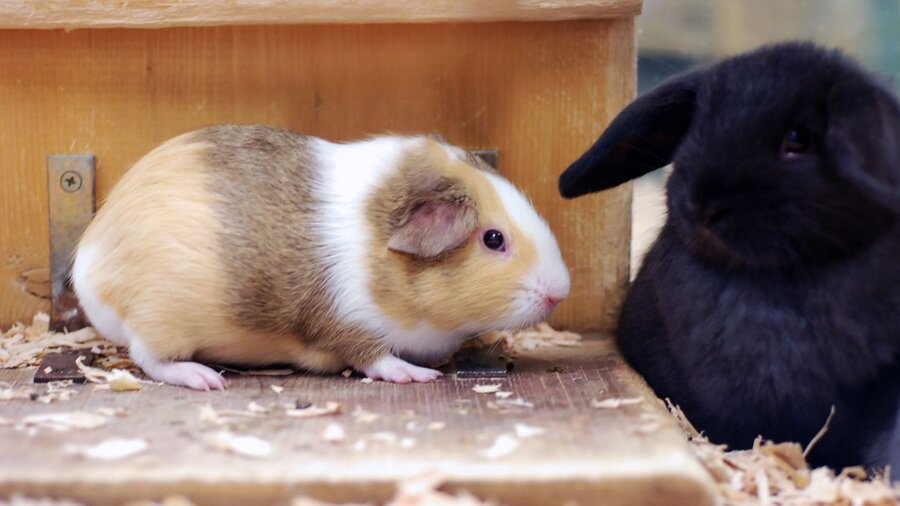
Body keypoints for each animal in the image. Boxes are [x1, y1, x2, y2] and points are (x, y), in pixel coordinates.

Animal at [72, 125, 570, 390]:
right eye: (493, 239)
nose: (560, 292)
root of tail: (88, 263)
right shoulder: (348, 324)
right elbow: (374, 357)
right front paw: (417, 375)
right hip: (161, 324)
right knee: (151, 359)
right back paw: (206, 378)